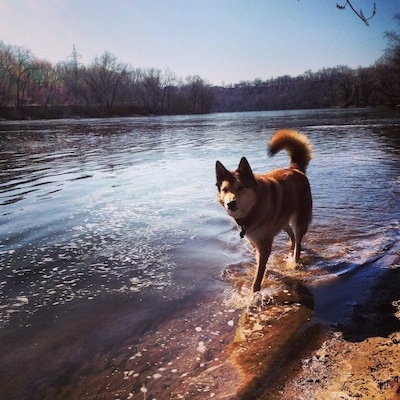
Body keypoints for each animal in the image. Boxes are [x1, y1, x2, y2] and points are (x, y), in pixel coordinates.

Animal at [216, 130, 312, 292]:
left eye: (240, 187)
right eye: (225, 189)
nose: (230, 203)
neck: (254, 208)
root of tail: (295, 168)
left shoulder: (264, 244)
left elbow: (258, 276)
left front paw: (253, 294)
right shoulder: (256, 242)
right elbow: (260, 266)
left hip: (300, 219)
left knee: (298, 242)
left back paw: (294, 261)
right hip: (281, 219)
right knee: (290, 232)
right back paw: (291, 246)